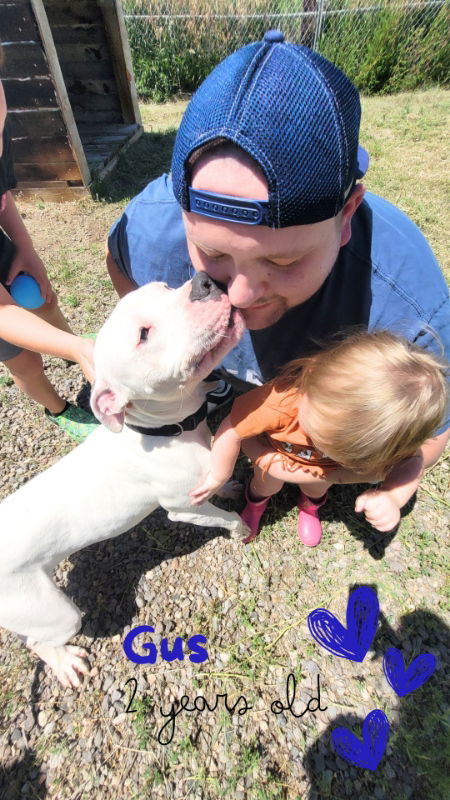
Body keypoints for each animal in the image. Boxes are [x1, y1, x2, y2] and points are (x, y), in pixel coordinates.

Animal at [0, 276, 246, 688]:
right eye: (143, 335)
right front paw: (242, 530)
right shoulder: (183, 509)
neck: (162, 429)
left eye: (163, 287)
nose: (204, 282)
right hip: (54, 611)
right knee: (38, 640)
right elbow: (226, 518)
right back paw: (65, 663)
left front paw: (225, 487)